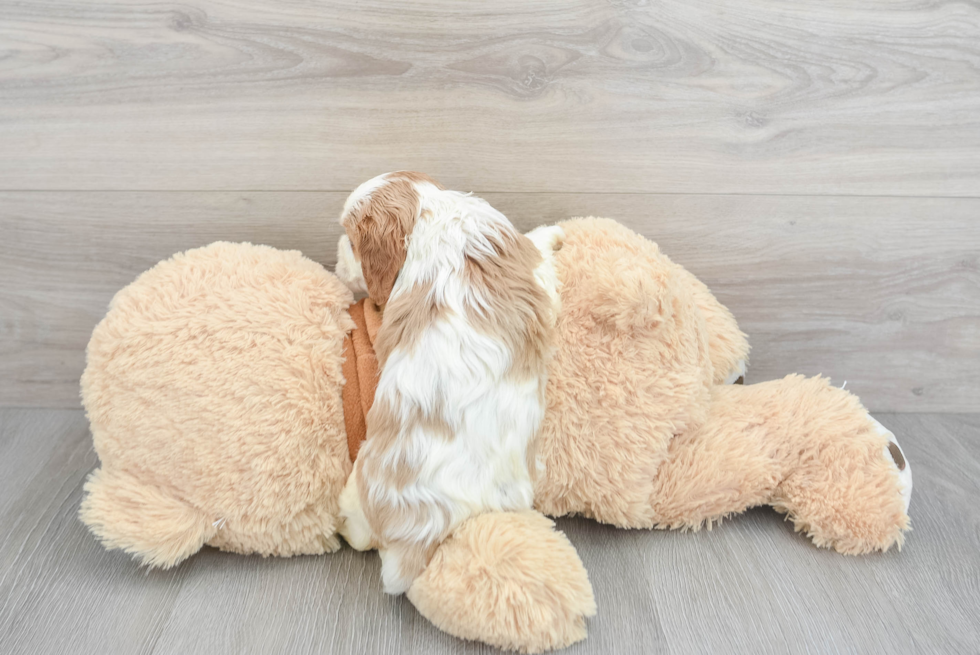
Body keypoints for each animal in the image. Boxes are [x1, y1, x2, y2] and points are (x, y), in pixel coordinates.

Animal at [336, 173, 564, 596]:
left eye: (351, 241)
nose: (337, 259)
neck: (430, 209)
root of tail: (419, 534)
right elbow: (538, 247)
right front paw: (554, 231)